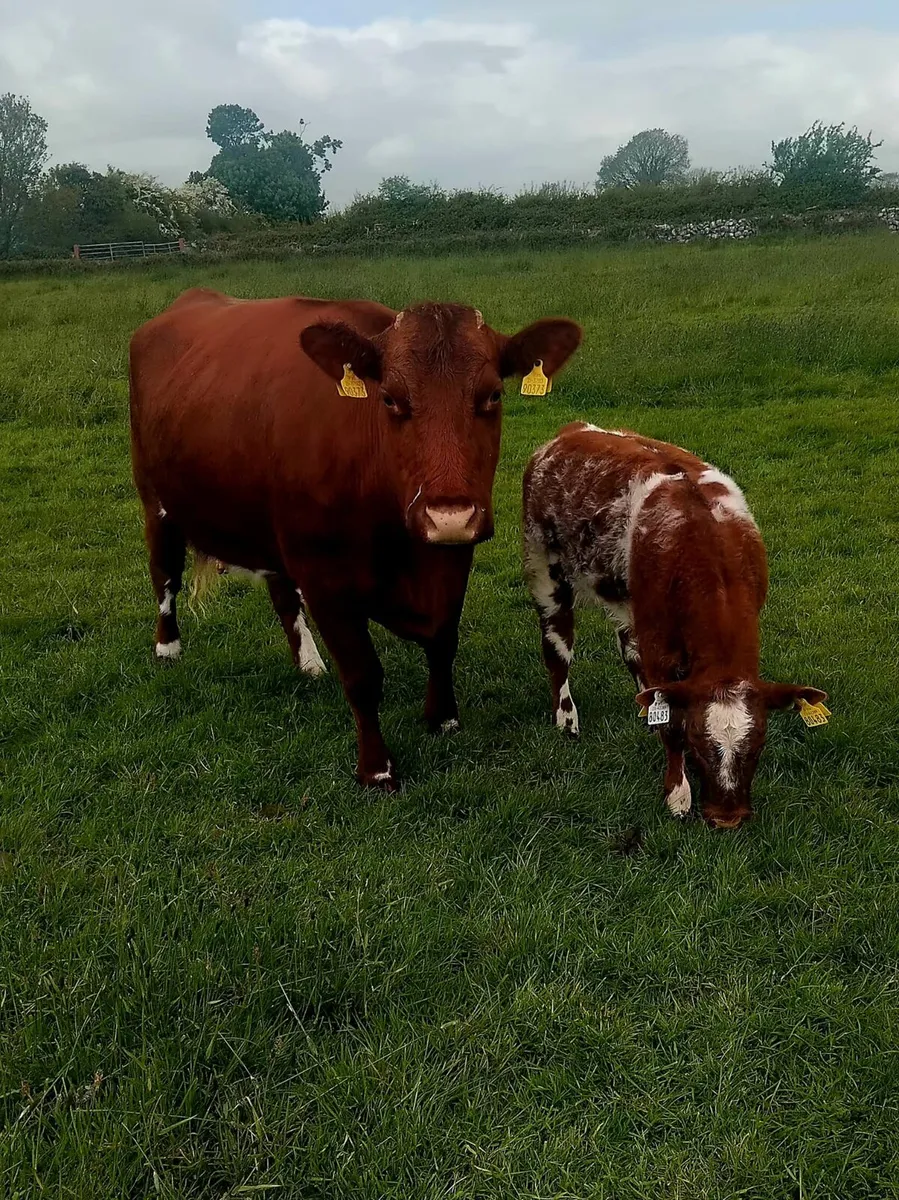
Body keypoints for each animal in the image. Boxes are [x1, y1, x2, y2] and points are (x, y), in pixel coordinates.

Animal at [130, 288, 582, 790]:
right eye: (389, 398)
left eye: (494, 395)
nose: (448, 515)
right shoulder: (324, 578)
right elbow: (363, 675)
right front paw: (377, 768)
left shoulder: (451, 558)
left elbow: (443, 640)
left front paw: (443, 717)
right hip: (156, 500)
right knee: (164, 574)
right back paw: (168, 647)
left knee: (281, 593)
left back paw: (308, 662)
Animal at [522, 423, 827, 829]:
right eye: (697, 741)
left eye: (759, 744)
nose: (727, 818)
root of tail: (571, 431)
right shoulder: (658, 645)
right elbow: (668, 722)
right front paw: (678, 792)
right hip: (545, 567)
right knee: (557, 646)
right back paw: (566, 717)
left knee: (627, 649)